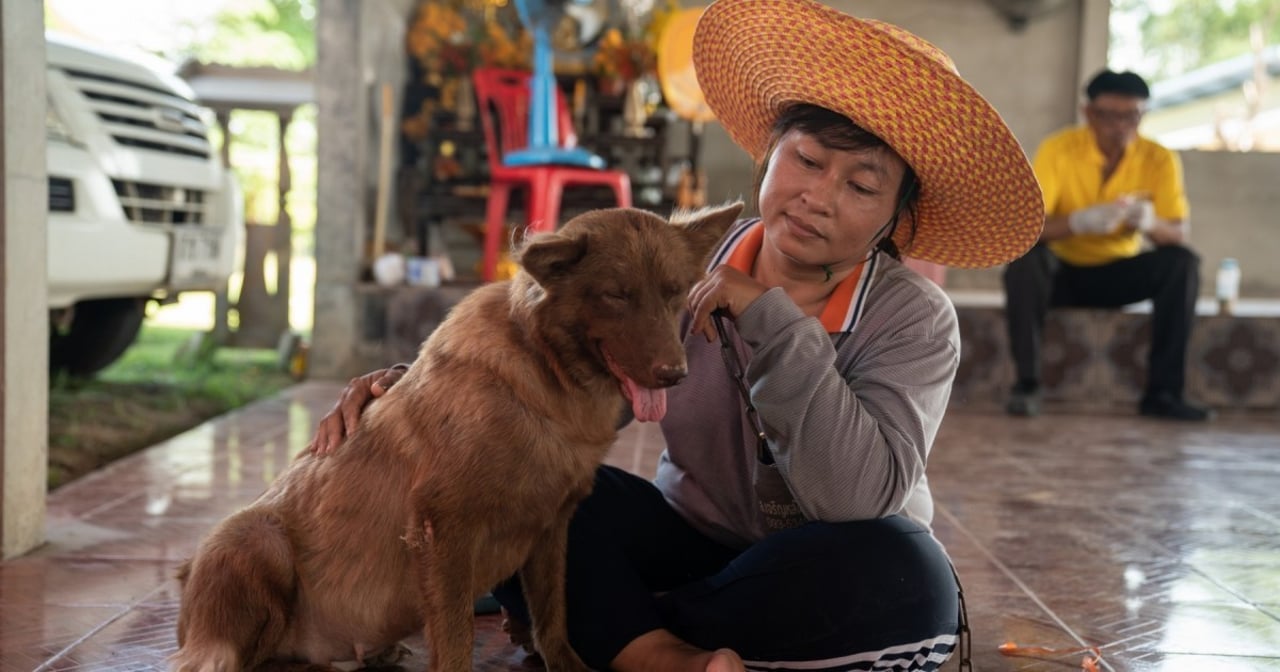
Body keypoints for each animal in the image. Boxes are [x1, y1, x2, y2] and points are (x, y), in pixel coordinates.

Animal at [175, 202, 747, 670]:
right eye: (615, 296)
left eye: (674, 293)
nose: (675, 375)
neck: (546, 376)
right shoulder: (444, 531)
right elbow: (454, 643)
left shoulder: (552, 529)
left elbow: (553, 620)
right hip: (255, 539)